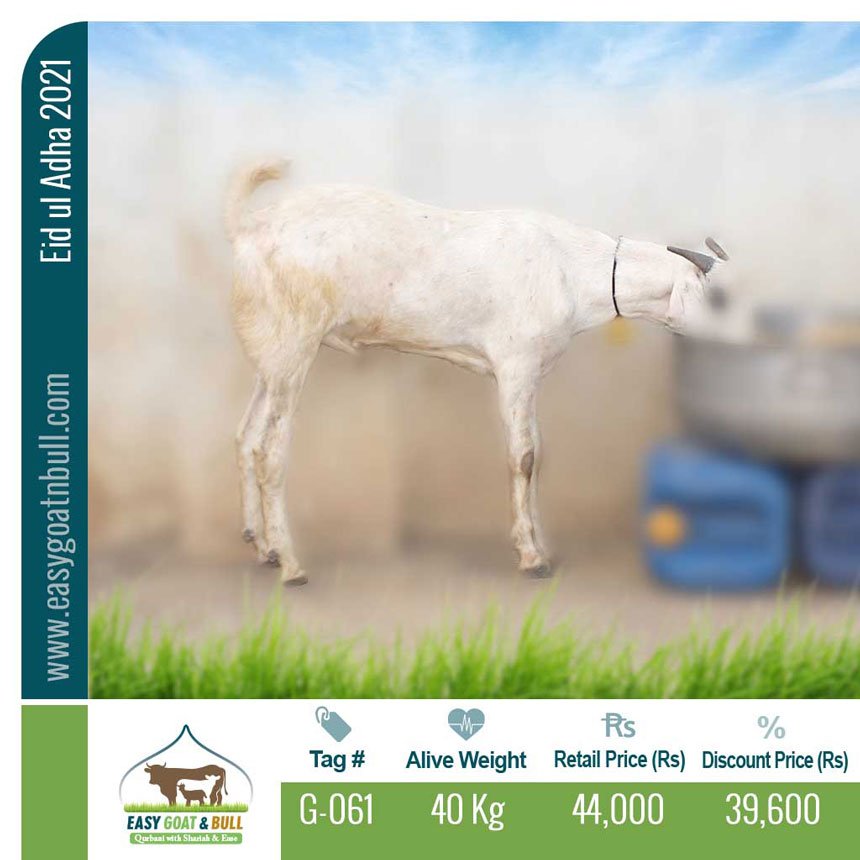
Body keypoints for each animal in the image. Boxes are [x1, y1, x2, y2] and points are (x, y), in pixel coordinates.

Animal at [225, 159, 729, 584]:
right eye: (720, 299)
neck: (572, 270)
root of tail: (249, 228)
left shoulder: (531, 373)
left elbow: (539, 452)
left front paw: (540, 544)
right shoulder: (515, 364)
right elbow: (523, 456)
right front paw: (532, 558)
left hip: (272, 352)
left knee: (247, 436)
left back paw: (262, 546)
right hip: (295, 340)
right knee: (271, 451)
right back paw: (291, 566)